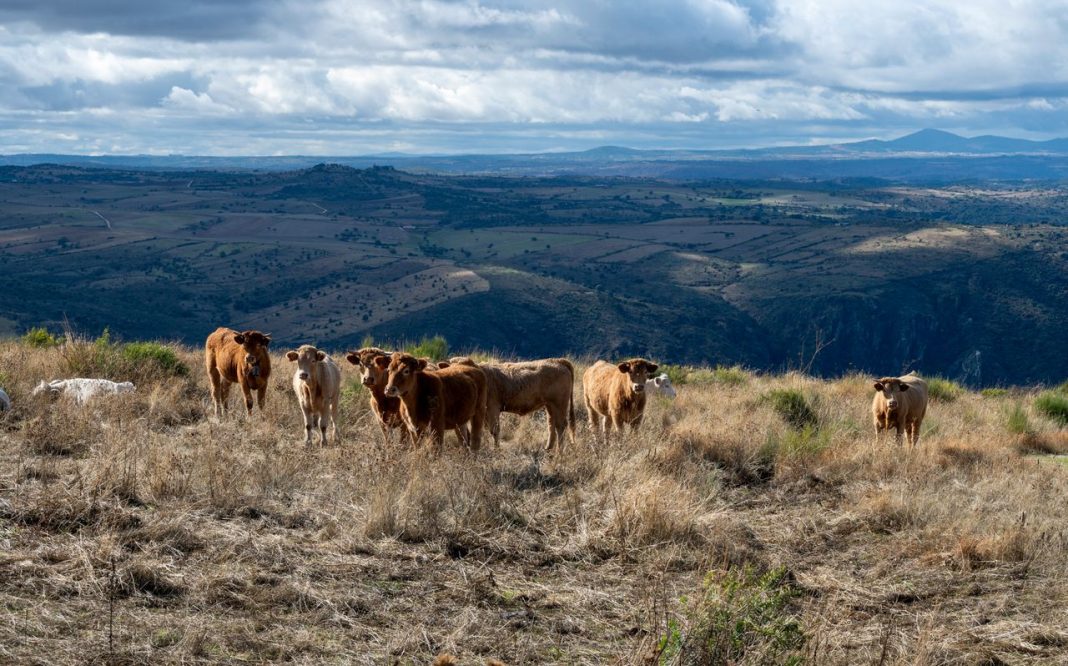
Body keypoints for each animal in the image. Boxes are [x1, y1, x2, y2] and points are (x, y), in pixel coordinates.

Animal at [445, 356, 576, 452]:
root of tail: (557, 360)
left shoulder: (492, 407)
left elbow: (494, 430)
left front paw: (496, 450)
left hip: (559, 404)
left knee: (560, 426)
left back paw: (559, 452)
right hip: (550, 405)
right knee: (551, 425)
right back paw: (548, 448)